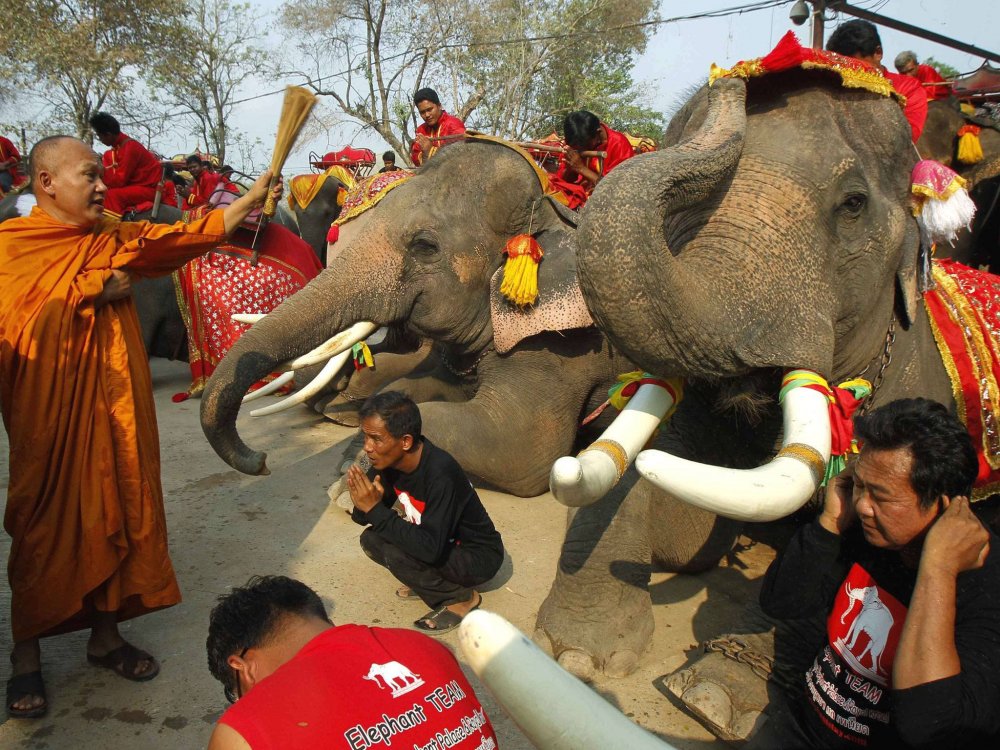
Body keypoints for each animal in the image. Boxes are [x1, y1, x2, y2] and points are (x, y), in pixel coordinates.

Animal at [198, 138, 628, 502]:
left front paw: (350, 480)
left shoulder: (558, 345)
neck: (551, 208)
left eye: (424, 246)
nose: (262, 461)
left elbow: (520, 448)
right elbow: (410, 385)